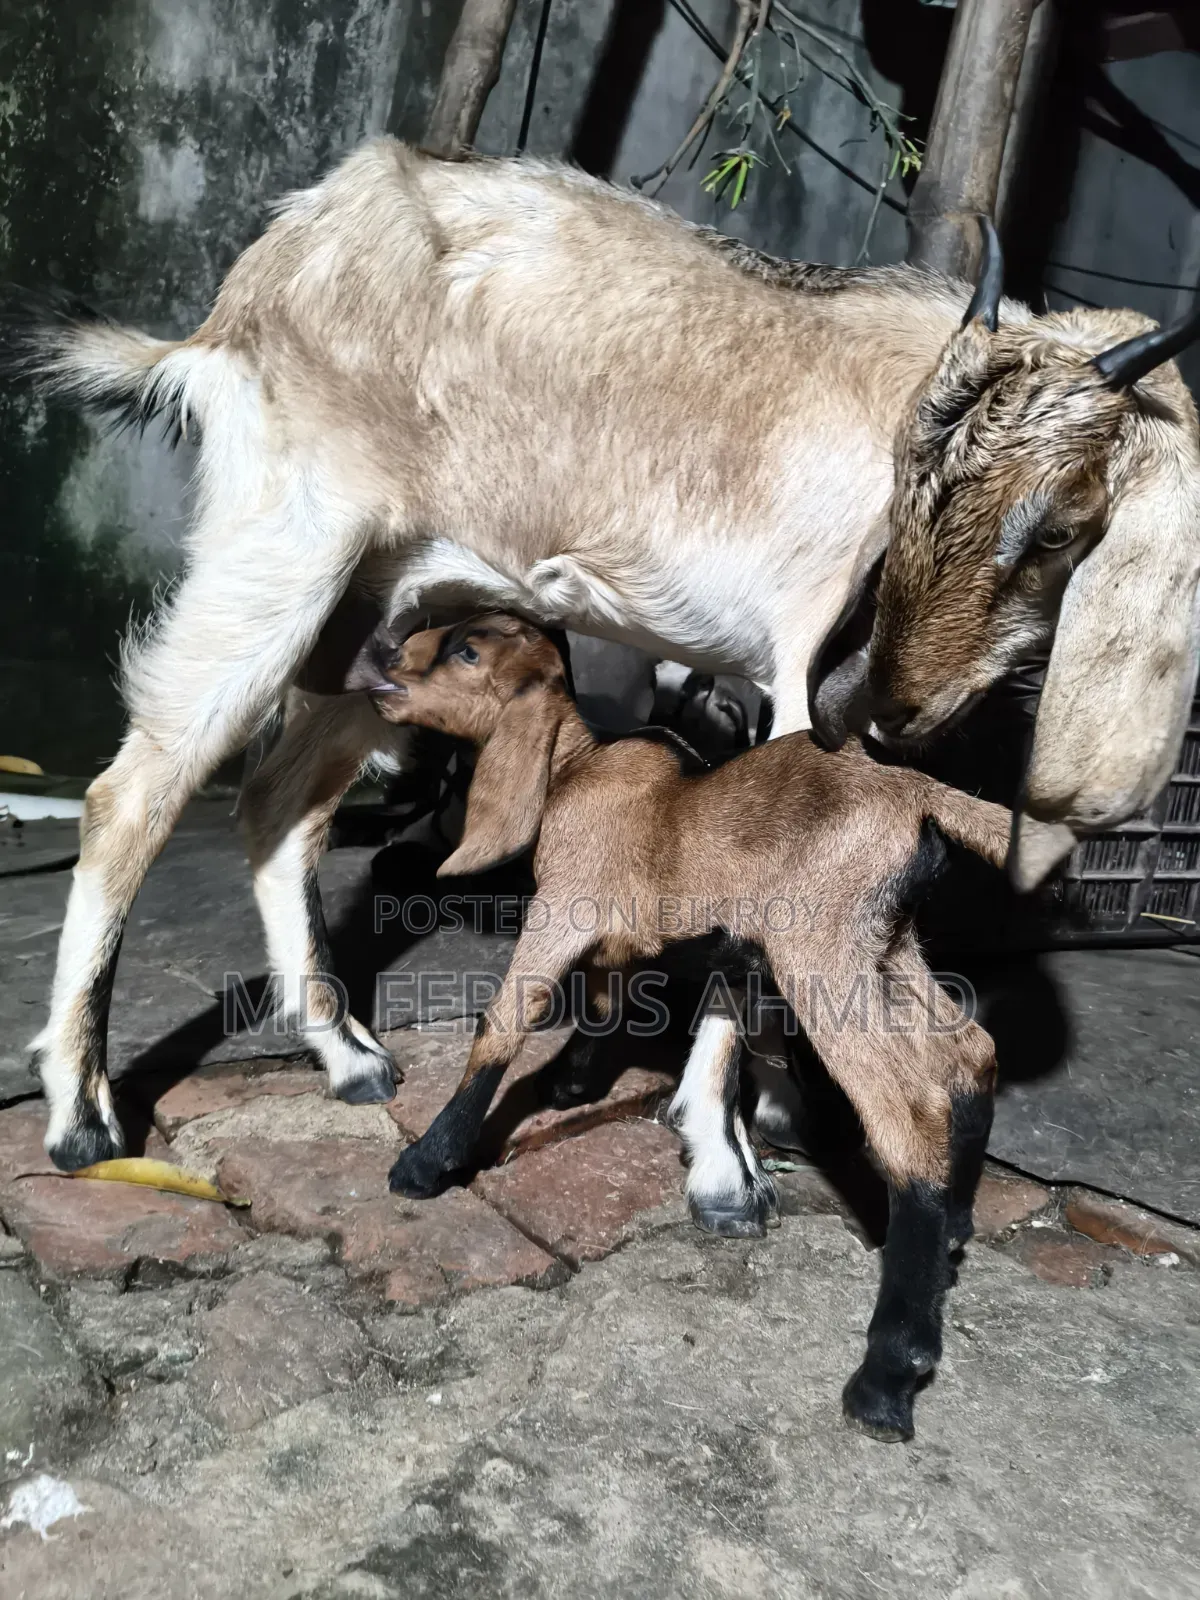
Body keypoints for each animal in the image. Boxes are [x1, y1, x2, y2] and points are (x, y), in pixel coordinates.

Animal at [5, 137, 1199, 1172]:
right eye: (903, 470)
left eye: (1060, 529)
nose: (880, 705)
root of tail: (254, 284)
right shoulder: (794, 670)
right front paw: (724, 1145)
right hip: (279, 553)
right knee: (135, 792)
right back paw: (81, 1115)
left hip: (379, 612)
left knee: (278, 802)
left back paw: (346, 1055)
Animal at [367, 612, 1068, 1441]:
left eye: (466, 650)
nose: (377, 657)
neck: (576, 764)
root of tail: (914, 792)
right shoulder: (620, 940)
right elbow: (605, 998)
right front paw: (573, 1083)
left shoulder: (562, 907)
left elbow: (503, 1025)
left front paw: (425, 1163)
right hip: (888, 947)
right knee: (968, 1051)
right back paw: (956, 1221)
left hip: (819, 953)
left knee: (910, 1109)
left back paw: (887, 1374)